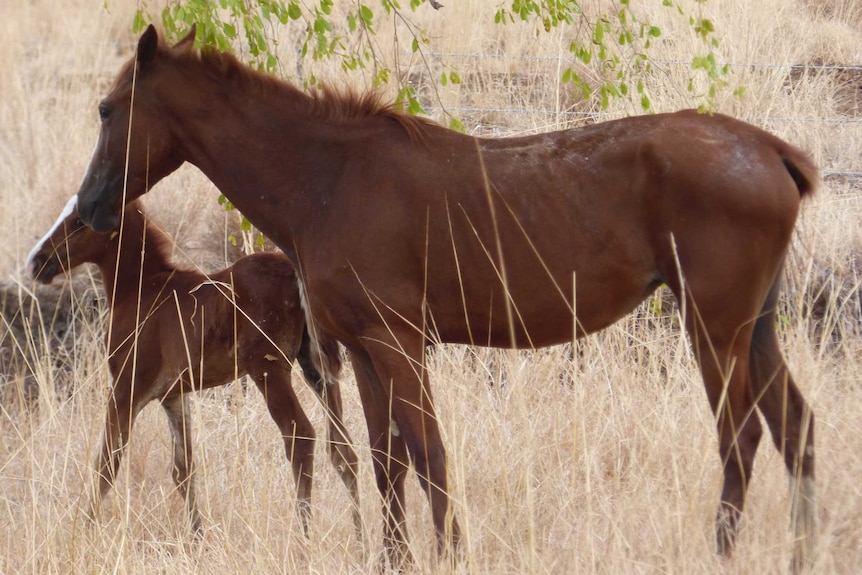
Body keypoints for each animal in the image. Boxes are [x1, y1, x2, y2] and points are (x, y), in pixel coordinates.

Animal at [25, 197, 360, 536]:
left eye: (80, 221)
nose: (37, 262)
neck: (141, 289)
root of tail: (294, 272)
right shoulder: (173, 394)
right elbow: (183, 469)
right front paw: (198, 536)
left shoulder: (126, 388)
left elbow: (107, 463)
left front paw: (83, 531)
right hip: (317, 369)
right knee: (343, 449)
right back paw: (361, 536)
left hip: (268, 369)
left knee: (300, 435)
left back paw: (305, 536)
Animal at [77, 23, 820, 572]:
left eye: (108, 110)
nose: (89, 209)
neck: (328, 178)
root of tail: (770, 150)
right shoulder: (364, 351)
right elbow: (388, 464)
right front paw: (393, 558)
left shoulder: (398, 342)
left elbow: (428, 454)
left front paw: (449, 554)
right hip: (754, 328)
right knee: (794, 429)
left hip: (715, 329)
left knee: (741, 436)